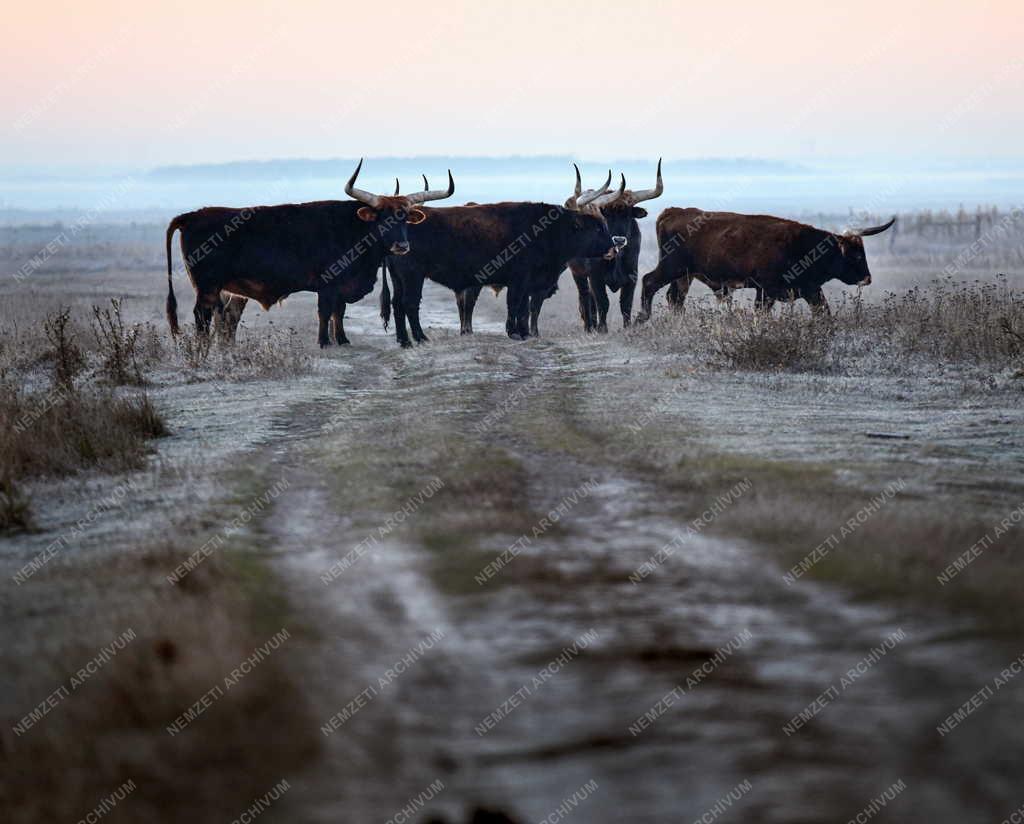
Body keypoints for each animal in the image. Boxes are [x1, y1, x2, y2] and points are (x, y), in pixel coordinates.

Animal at [163, 160, 452, 343]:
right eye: (383, 218)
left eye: (404, 219)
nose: (402, 246)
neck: (353, 228)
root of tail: (192, 215)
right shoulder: (328, 282)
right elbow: (325, 311)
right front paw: (324, 342)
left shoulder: (341, 286)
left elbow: (338, 312)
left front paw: (342, 340)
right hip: (207, 286)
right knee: (202, 318)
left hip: (226, 289)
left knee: (226, 319)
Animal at [569, 160, 663, 331]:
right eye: (606, 214)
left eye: (628, 214)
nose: (619, 240)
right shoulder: (595, 278)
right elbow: (603, 303)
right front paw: (602, 330)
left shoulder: (632, 277)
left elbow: (625, 304)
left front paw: (627, 328)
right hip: (577, 273)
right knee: (584, 297)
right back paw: (589, 327)